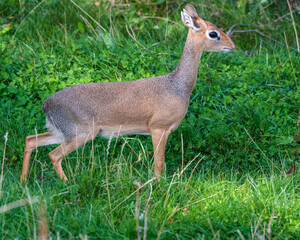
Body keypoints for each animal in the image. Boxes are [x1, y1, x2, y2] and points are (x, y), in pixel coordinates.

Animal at [20, 3, 237, 183]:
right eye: (213, 33)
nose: (233, 46)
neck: (177, 86)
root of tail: (46, 105)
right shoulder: (158, 128)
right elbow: (159, 164)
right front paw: (158, 186)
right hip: (80, 133)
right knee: (53, 155)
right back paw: (66, 182)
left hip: (61, 132)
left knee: (30, 140)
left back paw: (23, 181)